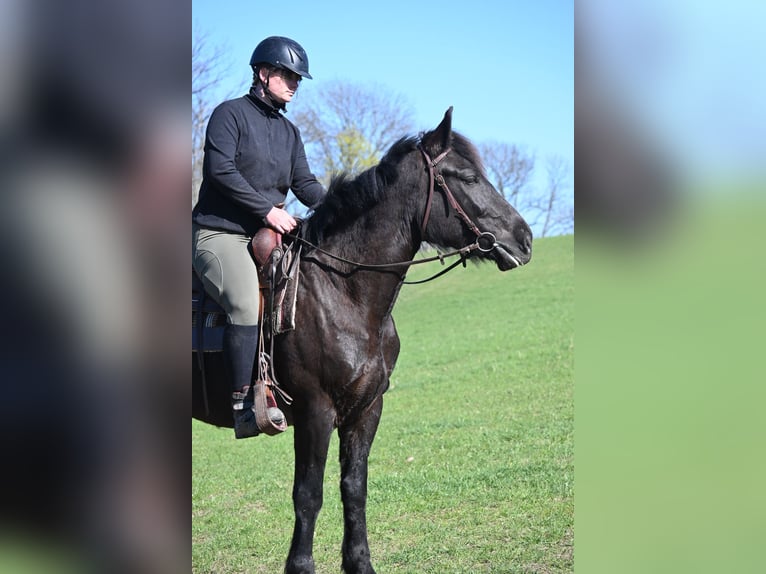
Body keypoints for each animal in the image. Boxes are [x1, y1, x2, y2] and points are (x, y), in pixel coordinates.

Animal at [192, 107, 533, 574]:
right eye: (467, 177)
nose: (525, 239)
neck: (342, 290)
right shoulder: (316, 412)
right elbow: (308, 495)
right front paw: (301, 566)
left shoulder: (366, 409)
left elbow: (353, 487)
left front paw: (359, 562)